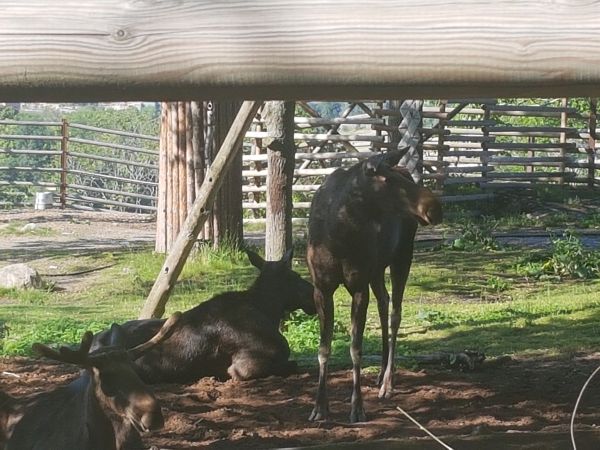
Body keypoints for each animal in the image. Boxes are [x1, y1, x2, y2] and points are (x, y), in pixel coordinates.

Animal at [308, 149, 442, 422]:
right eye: (387, 180)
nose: (435, 207)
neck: (337, 234)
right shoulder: (322, 289)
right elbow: (323, 348)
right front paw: (319, 406)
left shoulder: (358, 286)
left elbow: (355, 348)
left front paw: (357, 407)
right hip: (377, 269)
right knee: (384, 301)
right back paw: (381, 373)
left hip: (402, 257)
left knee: (395, 313)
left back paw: (388, 382)